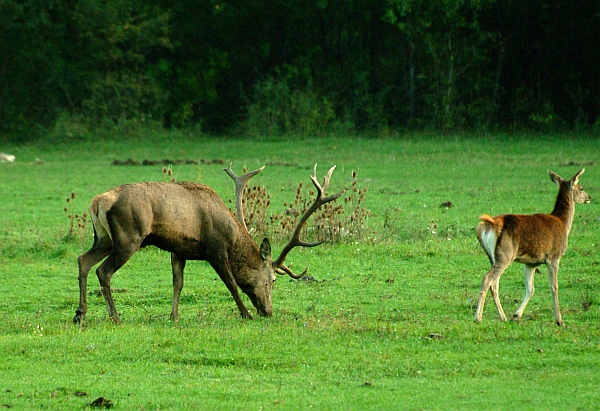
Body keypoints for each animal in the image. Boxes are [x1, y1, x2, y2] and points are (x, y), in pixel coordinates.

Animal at [474, 169, 592, 326]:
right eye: (581, 188)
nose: (589, 197)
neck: (563, 223)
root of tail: (490, 224)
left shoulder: (530, 263)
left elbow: (530, 289)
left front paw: (516, 315)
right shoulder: (554, 257)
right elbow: (554, 287)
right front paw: (559, 320)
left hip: (492, 256)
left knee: (494, 284)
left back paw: (503, 317)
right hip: (505, 254)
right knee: (487, 279)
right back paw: (477, 317)